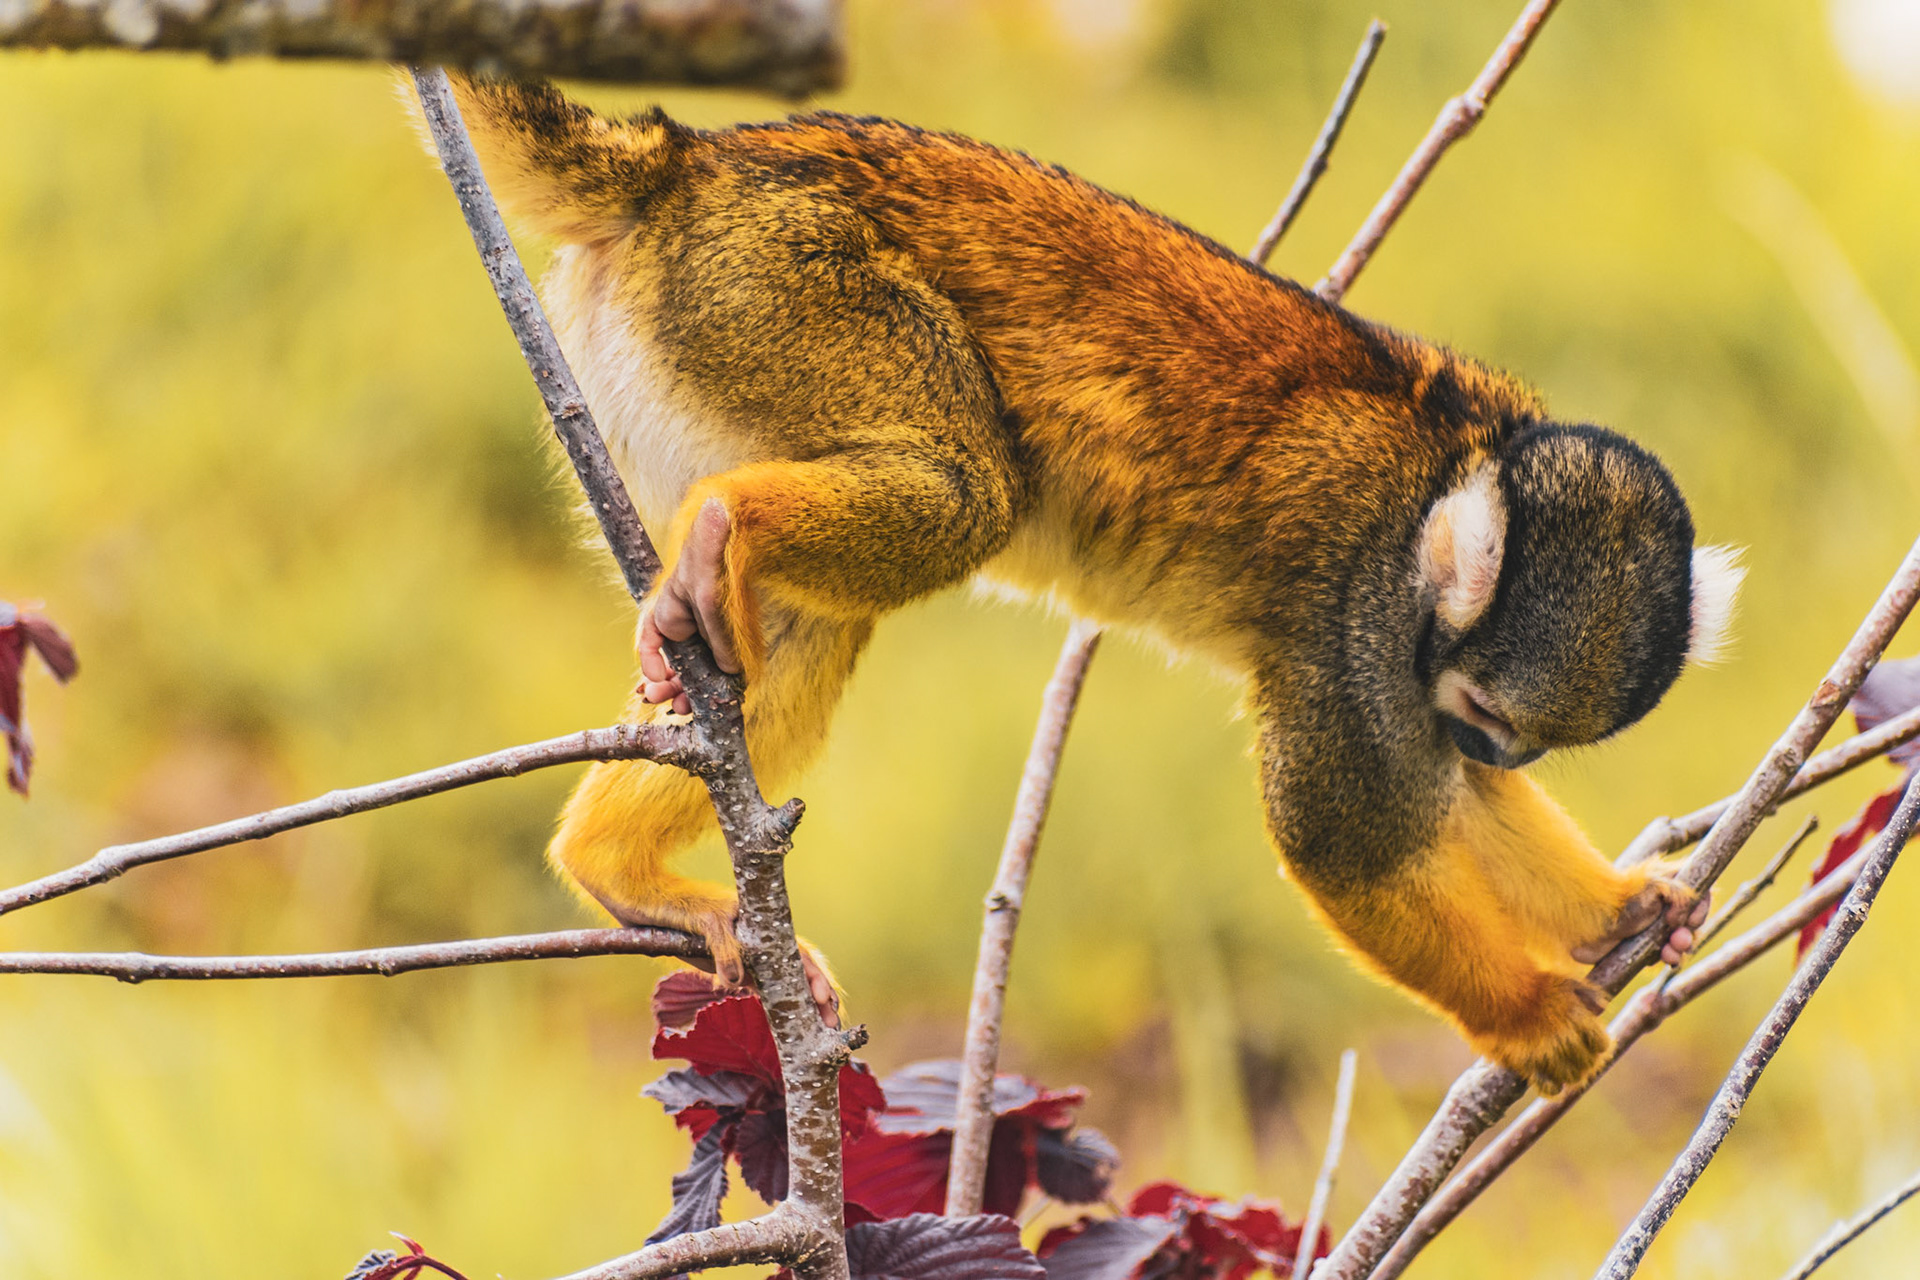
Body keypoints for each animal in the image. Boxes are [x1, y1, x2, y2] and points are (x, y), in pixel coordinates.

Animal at [430, 77, 1743, 1094]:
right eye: (1488, 715)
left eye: (1516, 740)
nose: (1492, 747)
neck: (1448, 480)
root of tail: (688, 160)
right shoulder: (1358, 609)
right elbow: (1343, 838)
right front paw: (1525, 1012)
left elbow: (1455, 806)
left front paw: (1616, 907)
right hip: (778, 288)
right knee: (966, 494)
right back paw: (721, 530)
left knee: (820, 609)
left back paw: (622, 860)